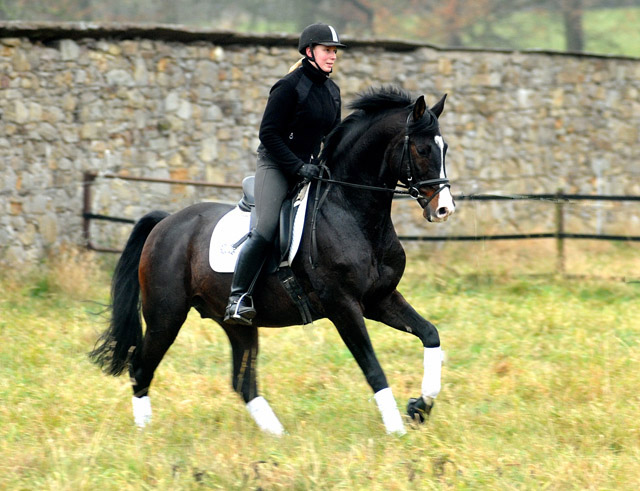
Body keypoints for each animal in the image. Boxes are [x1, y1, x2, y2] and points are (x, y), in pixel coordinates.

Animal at [92, 86, 458, 436]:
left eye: (445, 149)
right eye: (422, 150)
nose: (444, 209)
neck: (351, 212)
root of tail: (165, 223)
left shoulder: (380, 299)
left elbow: (430, 335)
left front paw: (419, 407)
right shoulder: (343, 306)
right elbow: (373, 368)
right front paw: (397, 431)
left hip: (235, 323)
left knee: (242, 381)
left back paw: (278, 436)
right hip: (165, 316)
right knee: (140, 369)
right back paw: (145, 435)